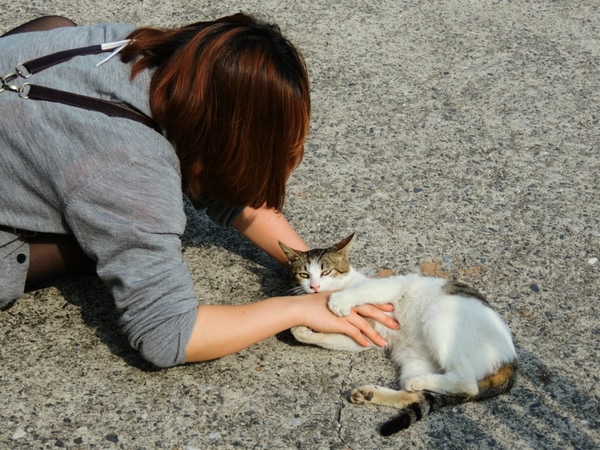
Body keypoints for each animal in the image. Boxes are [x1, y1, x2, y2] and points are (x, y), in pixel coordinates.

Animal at [278, 236, 516, 436]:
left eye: (326, 272)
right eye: (304, 275)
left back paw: (416, 382)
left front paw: (339, 300)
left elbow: (363, 291)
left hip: (440, 316)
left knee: (467, 383)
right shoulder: (364, 336)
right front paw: (301, 330)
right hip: (415, 357)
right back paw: (374, 393)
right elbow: (326, 338)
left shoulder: (390, 287)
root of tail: (511, 359)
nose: (315, 287)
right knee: (419, 394)